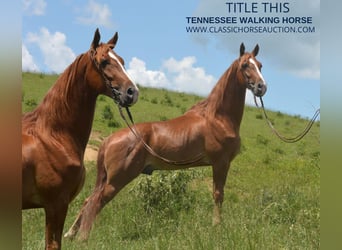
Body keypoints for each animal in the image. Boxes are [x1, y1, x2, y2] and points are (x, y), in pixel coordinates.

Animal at [64, 43, 268, 240]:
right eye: (245, 65)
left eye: (260, 65)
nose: (261, 87)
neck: (217, 117)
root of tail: (109, 140)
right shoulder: (220, 163)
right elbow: (218, 195)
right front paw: (217, 226)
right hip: (117, 179)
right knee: (96, 202)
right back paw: (83, 237)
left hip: (107, 178)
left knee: (88, 200)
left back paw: (71, 234)